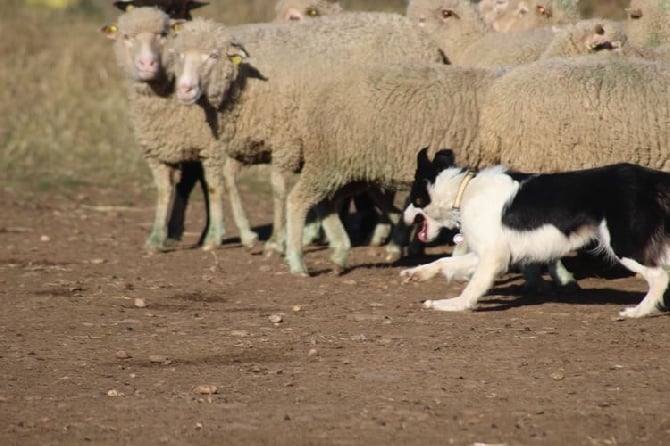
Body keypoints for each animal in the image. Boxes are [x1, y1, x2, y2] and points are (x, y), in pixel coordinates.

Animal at [402, 149, 670, 318]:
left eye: (413, 196)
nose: (404, 216)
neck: (463, 190)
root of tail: (648, 177)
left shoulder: (494, 256)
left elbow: (473, 285)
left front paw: (453, 305)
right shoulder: (484, 254)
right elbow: (444, 261)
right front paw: (415, 273)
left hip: (625, 243)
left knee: (659, 277)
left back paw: (638, 312)